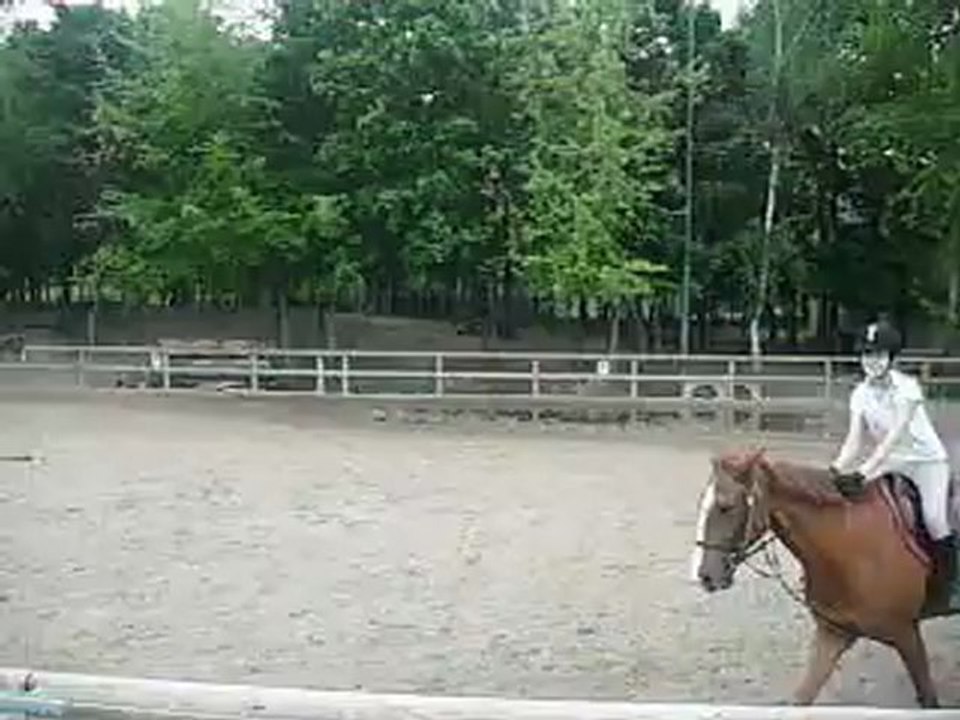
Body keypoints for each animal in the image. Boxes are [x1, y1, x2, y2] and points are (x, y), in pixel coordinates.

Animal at [691, 447, 960, 708]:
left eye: (726, 507)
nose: (705, 576)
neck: (850, 548)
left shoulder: (906, 634)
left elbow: (929, 699)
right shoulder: (833, 632)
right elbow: (802, 698)